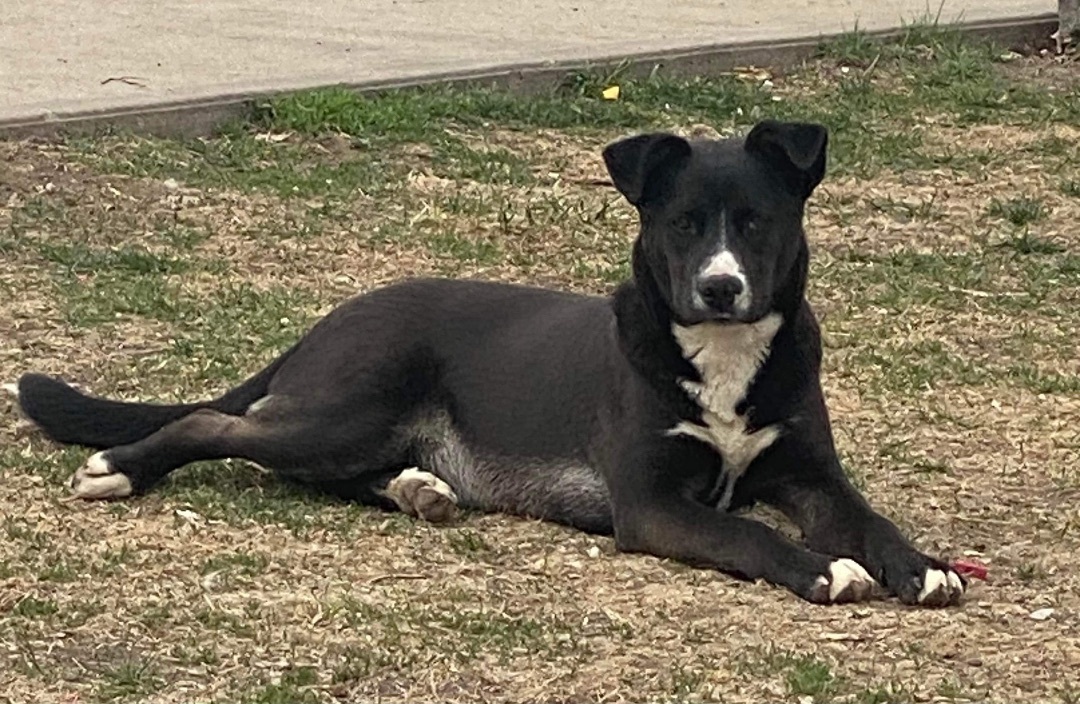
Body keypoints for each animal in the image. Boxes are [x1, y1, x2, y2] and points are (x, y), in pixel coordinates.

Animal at [8, 119, 963, 604]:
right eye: (684, 223)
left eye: (757, 222)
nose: (721, 288)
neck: (722, 356)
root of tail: (327, 323)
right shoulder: (653, 505)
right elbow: (748, 531)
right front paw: (824, 570)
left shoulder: (810, 476)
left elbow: (870, 519)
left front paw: (922, 564)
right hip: (347, 408)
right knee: (220, 426)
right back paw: (120, 468)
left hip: (355, 433)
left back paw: (418, 489)